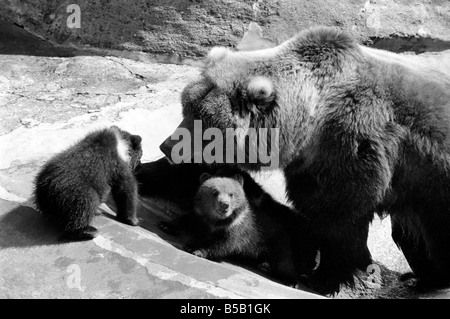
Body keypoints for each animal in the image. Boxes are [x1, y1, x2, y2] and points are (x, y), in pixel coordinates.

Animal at [153, 26, 448, 296]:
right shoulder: (310, 167)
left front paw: (325, 277)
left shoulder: (354, 147)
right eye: (187, 108)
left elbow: (340, 216)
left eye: (205, 122)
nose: (167, 145)